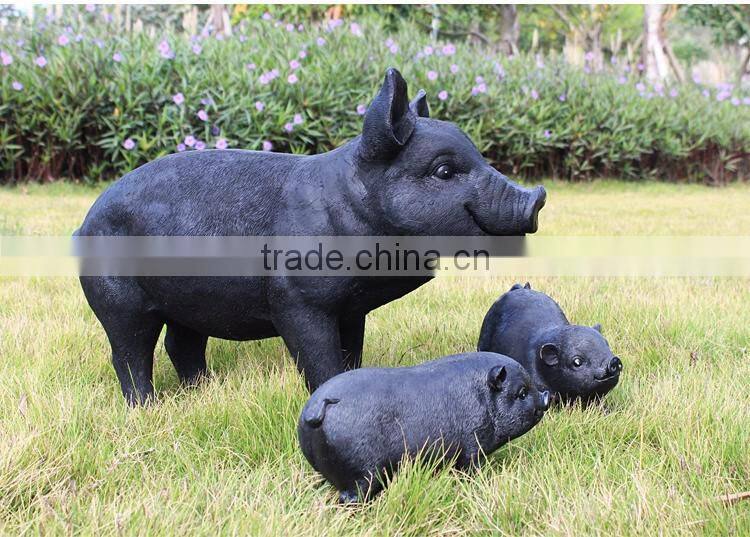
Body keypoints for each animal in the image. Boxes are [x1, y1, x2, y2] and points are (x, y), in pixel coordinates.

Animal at [75, 68, 546, 405]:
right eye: (444, 170)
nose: (537, 197)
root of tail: (86, 220)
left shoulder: (353, 308)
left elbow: (351, 351)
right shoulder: (297, 299)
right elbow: (318, 356)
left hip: (188, 301)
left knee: (181, 343)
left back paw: (203, 391)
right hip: (117, 298)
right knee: (130, 351)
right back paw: (147, 407)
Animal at [297, 352, 550, 503]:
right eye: (522, 393)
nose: (546, 396)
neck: (483, 399)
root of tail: (318, 406)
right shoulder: (471, 445)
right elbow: (470, 469)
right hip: (362, 471)